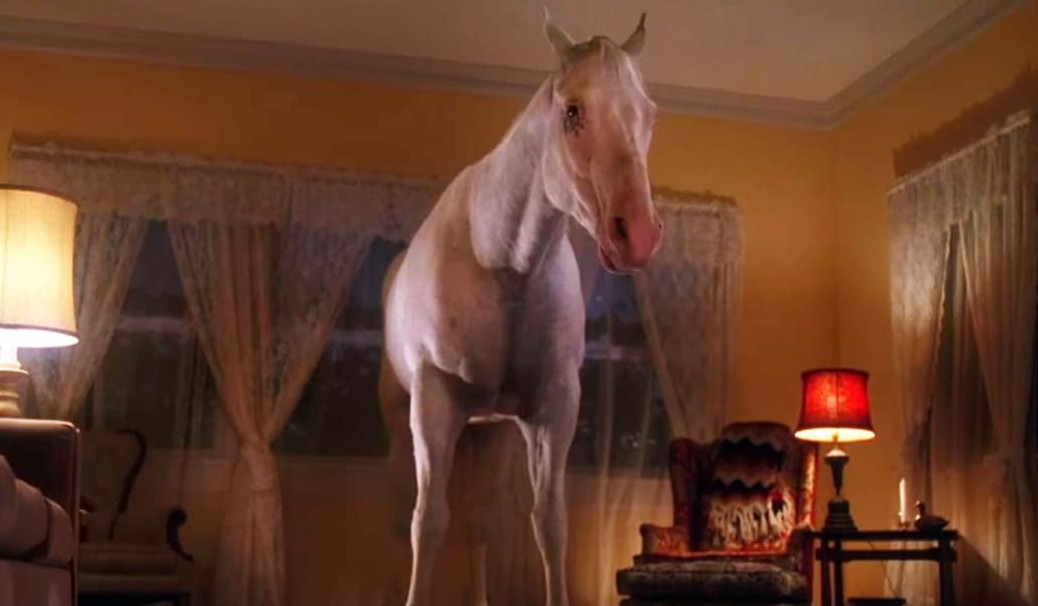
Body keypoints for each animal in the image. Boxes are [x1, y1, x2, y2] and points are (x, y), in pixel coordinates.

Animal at [381, 13, 662, 605]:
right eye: (572, 110)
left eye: (648, 114)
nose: (639, 235)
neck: (504, 262)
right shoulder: (434, 404)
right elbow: (428, 522)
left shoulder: (552, 408)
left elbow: (548, 524)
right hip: (404, 421)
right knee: (403, 520)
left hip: (486, 434)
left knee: (479, 522)